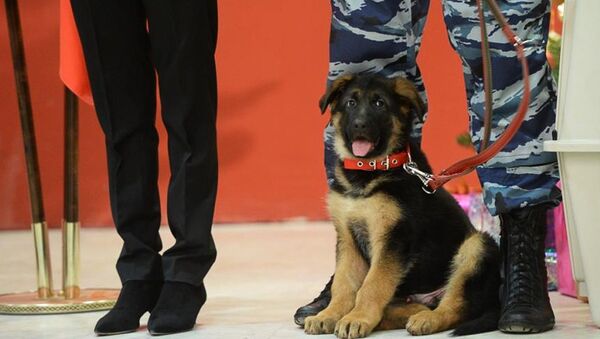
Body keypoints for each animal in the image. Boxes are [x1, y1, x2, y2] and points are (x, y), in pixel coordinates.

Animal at [304, 74, 502, 338]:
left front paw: (357, 317)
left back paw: (427, 320)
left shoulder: (393, 239)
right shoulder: (347, 238)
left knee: (455, 307)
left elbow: (373, 283)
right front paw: (330, 314)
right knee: (413, 306)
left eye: (379, 104)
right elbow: (344, 284)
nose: (359, 125)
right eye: (350, 103)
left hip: (477, 246)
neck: (369, 172)